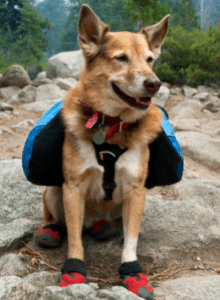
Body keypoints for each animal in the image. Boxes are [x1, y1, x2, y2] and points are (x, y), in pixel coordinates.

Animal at [38, 4, 170, 298]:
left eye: (150, 60)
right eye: (121, 58)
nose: (154, 84)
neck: (111, 128)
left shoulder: (135, 190)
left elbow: (131, 240)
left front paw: (132, 272)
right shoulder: (73, 187)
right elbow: (75, 239)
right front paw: (74, 269)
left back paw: (104, 228)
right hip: (53, 191)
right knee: (56, 219)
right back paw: (50, 231)